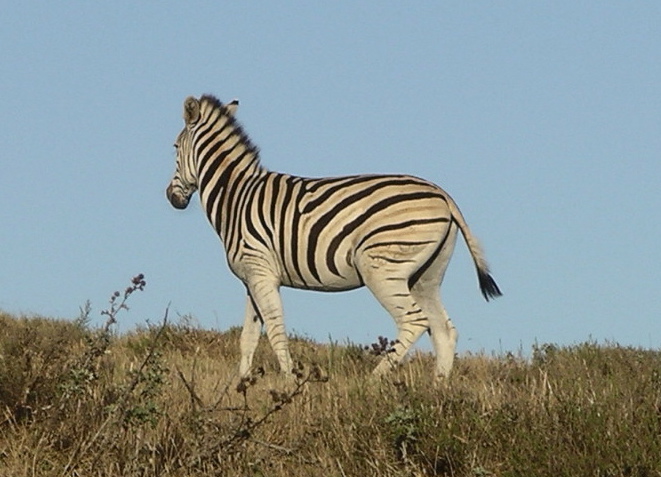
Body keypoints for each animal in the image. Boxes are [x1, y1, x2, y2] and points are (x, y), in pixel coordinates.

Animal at [166, 94, 500, 380]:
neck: (236, 195)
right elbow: (248, 336)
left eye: (174, 147)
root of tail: (443, 195)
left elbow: (275, 330)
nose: (172, 198)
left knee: (415, 321)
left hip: (381, 267)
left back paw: (374, 381)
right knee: (444, 330)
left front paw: (288, 381)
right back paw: (438, 389)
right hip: (426, 275)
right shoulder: (252, 277)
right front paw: (242, 384)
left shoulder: (261, 273)